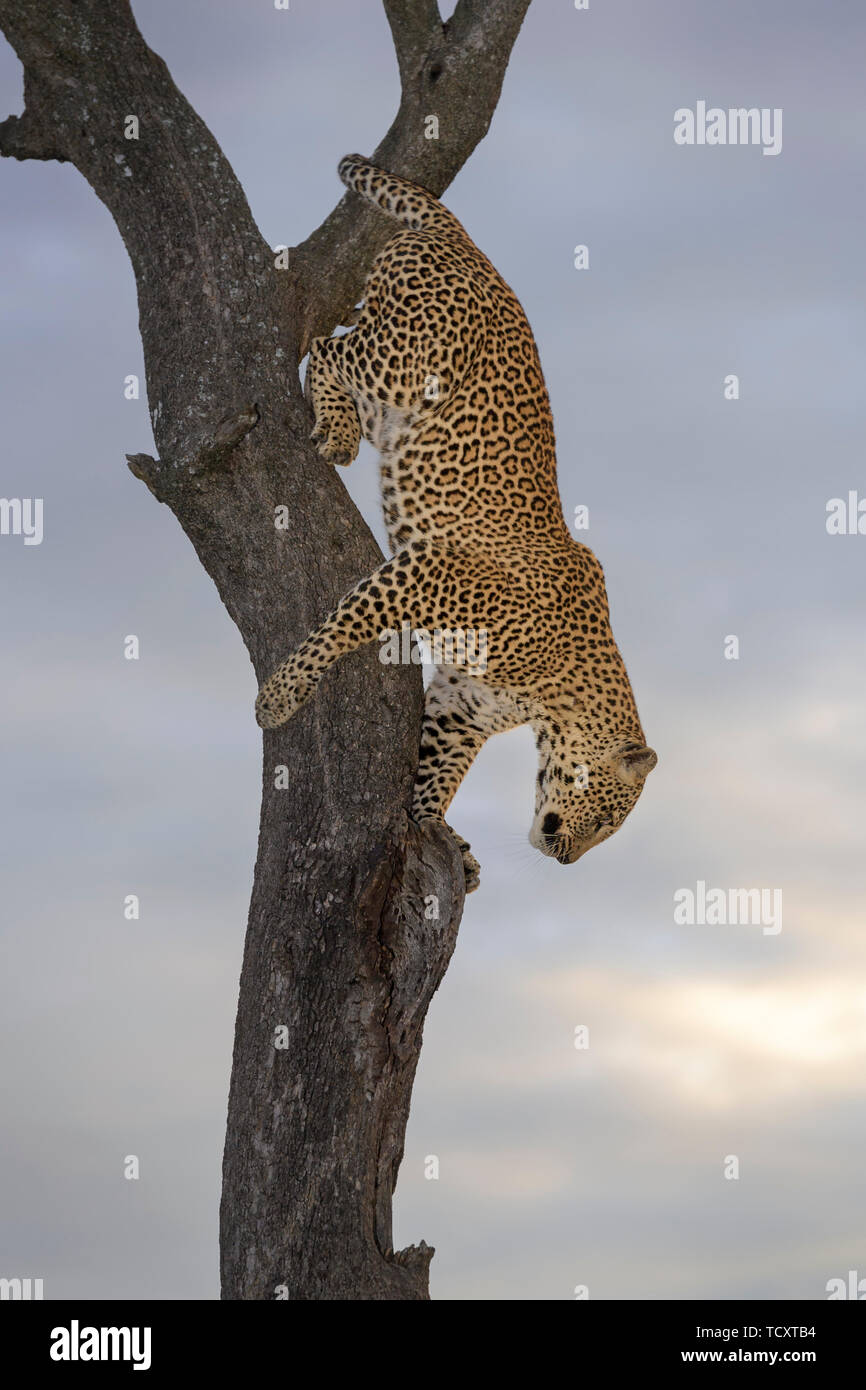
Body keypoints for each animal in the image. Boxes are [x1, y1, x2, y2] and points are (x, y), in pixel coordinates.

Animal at [256, 155, 657, 893]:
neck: (556, 695)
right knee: (327, 348)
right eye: (611, 818)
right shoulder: (432, 570)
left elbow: (437, 769)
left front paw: (436, 831)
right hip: (406, 364)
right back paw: (336, 429)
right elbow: (346, 623)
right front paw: (282, 692)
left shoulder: (461, 704)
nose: (567, 859)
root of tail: (470, 245)